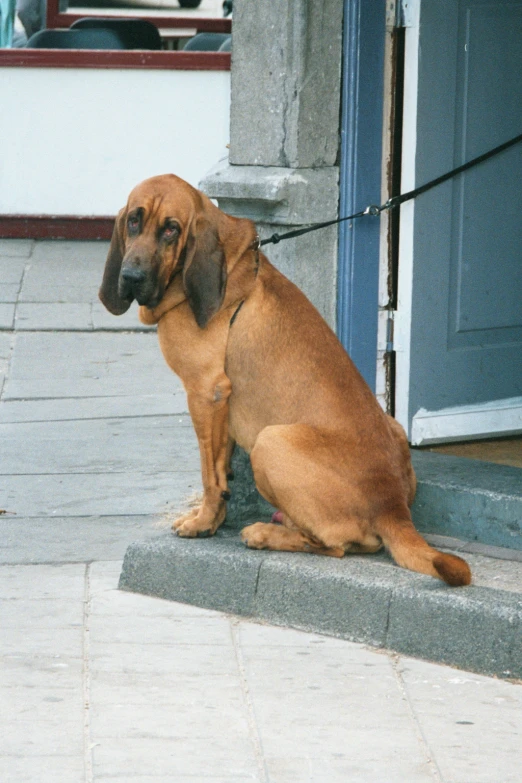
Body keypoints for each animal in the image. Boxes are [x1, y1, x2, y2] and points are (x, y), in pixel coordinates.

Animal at [98, 175, 472, 584]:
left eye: (171, 229)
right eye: (134, 220)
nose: (131, 278)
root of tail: (393, 507)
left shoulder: (204, 392)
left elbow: (209, 476)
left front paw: (203, 523)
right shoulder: (221, 406)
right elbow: (220, 468)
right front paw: (214, 516)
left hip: (271, 441)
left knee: (335, 545)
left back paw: (264, 533)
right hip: (391, 429)